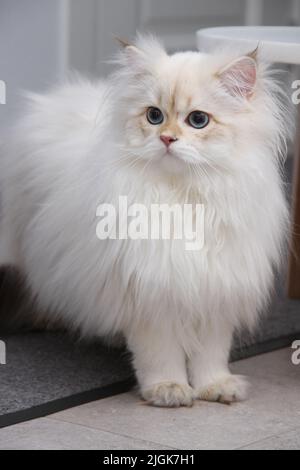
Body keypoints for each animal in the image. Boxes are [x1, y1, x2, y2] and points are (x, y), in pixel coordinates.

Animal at [0, 35, 290, 406]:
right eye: (154, 116)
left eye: (198, 120)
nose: (166, 138)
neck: (184, 196)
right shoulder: (150, 293)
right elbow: (160, 355)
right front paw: (169, 390)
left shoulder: (216, 291)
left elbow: (210, 355)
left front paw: (215, 387)